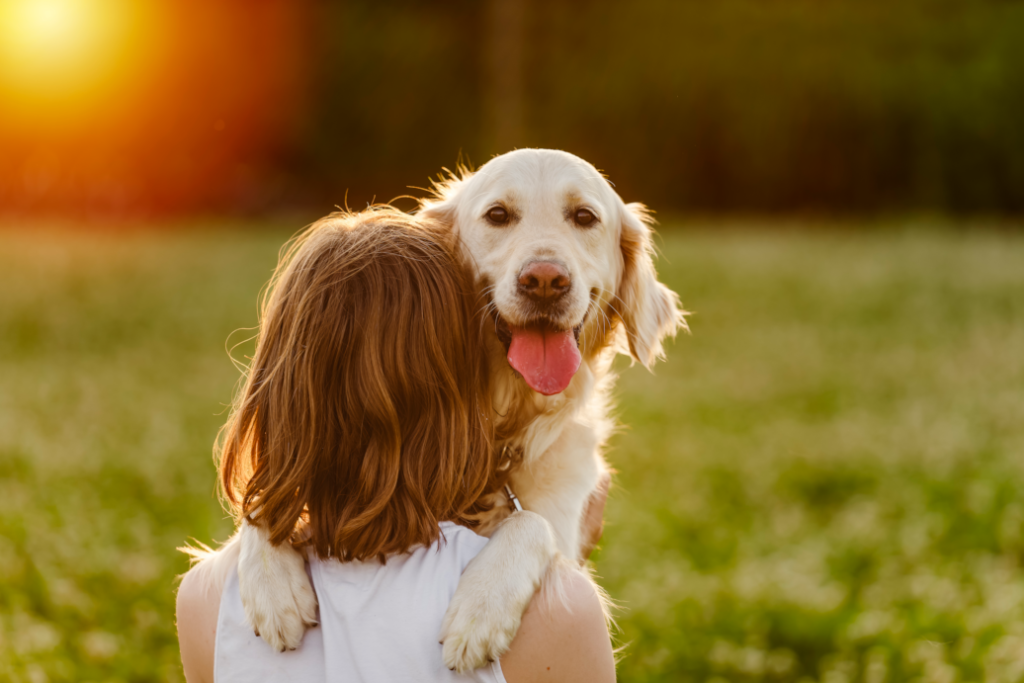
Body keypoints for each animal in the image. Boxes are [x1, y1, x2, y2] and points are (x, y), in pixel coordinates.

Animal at [237, 150, 688, 671]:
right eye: (497, 215)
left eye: (584, 217)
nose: (544, 280)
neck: (505, 426)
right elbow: (261, 502)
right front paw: (274, 588)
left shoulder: (563, 518)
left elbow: (529, 522)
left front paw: (480, 609)